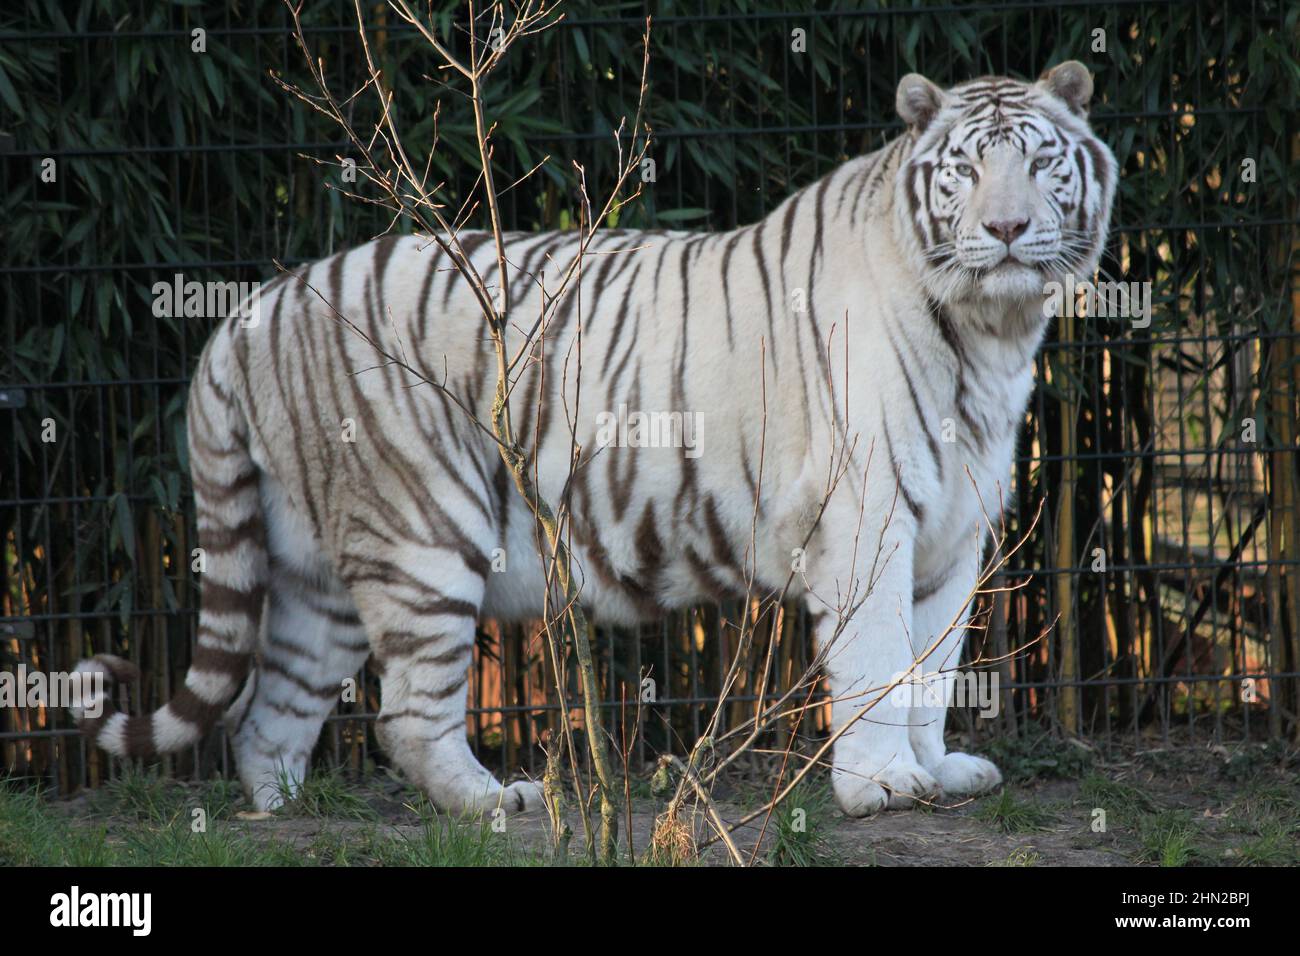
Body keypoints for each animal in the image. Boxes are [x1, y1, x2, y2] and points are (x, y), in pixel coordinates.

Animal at [73, 63, 1118, 816]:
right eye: (966, 169)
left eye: (1041, 163)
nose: (1008, 228)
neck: (990, 333)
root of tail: (249, 312)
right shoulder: (865, 517)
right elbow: (874, 657)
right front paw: (881, 787)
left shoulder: (955, 531)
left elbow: (931, 667)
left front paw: (936, 771)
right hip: (423, 526)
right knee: (404, 714)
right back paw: (493, 803)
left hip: (314, 563)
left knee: (266, 712)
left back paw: (282, 811)